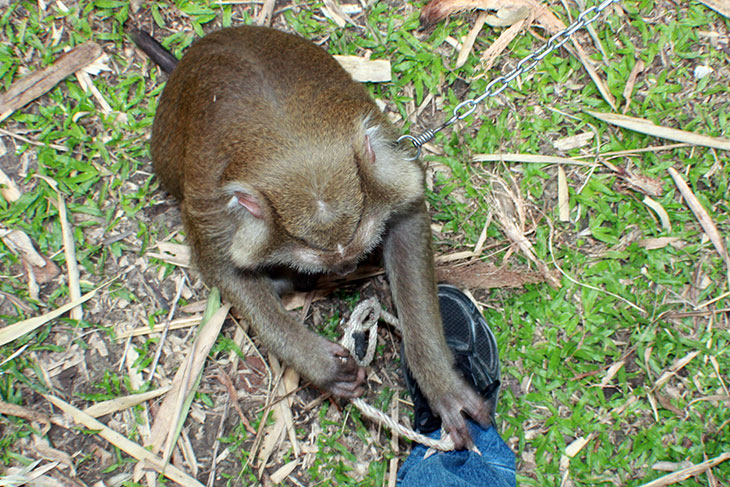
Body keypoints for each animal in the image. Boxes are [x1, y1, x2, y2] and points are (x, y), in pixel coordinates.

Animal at [134, 24, 492, 448]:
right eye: (314, 254)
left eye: (354, 249)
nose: (345, 270)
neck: (292, 146)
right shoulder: (216, 212)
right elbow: (225, 270)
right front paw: (316, 362)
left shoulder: (386, 164)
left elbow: (407, 220)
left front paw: (437, 379)